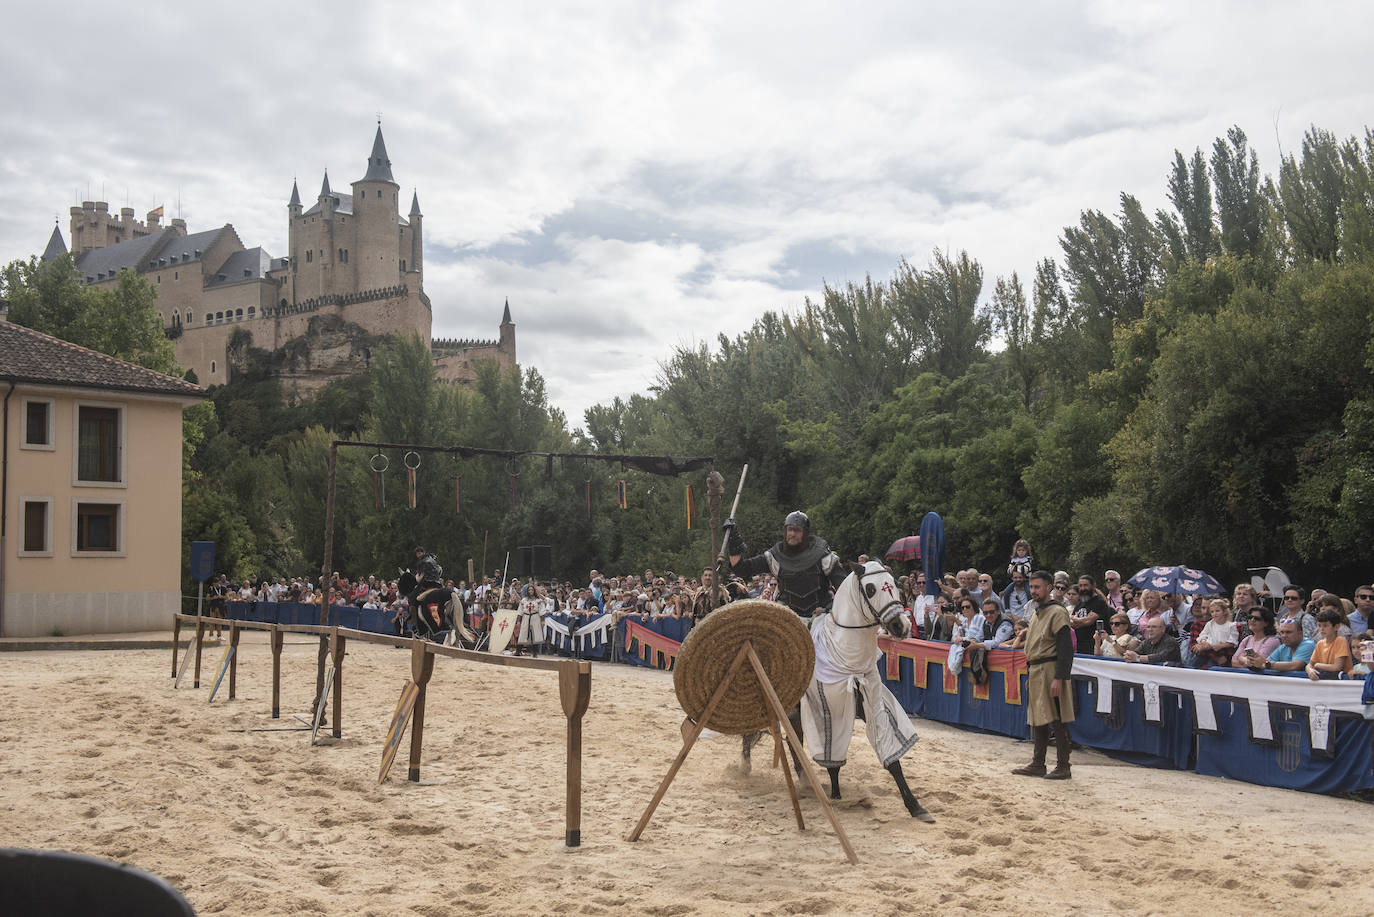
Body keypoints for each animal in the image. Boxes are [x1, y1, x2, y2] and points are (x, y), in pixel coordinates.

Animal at [802, 560, 934, 824]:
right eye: (871, 589)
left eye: (893, 584)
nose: (901, 625)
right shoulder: (829, 710)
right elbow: (832, 757)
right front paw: (835, 793)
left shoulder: (874, 704)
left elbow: (892, 758)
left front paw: (915, 806)